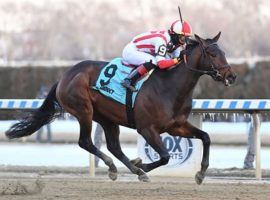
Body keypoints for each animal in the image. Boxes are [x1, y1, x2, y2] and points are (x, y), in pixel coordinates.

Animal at [5, 32, 235, 184]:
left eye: (224, 51)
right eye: (212, 53)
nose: (231, 76)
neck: (169, 86)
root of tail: (64, 76)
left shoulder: (176, 126)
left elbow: (206, 137)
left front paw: (201, 173)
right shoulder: (147, 128)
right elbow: (165, 156)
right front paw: (141, 164)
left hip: (106, 118)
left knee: (113, 146)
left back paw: (126, 168)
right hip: (83, 110)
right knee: (85, 141)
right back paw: (121, 167)